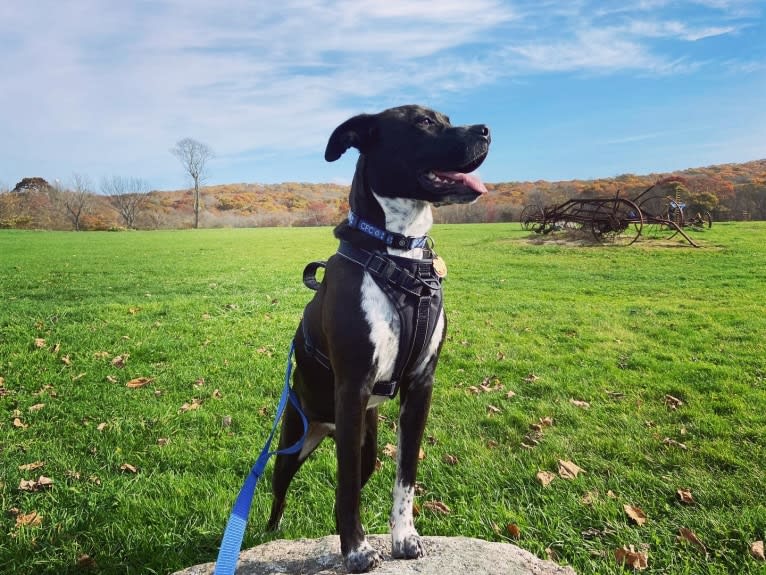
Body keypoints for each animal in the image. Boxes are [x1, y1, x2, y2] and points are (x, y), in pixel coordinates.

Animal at [268, 106, 488, 572]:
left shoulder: (420, 387)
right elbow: (347, 489)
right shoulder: (352, 388)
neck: (398, 251)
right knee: (280, 488)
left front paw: (404, 538)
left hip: (364, 443)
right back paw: (268, 532)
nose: (486, 130)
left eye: (447, 118)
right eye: (424, 122)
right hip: (296, 439)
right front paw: (355, 551)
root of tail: (325, 427)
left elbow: (405, 476)